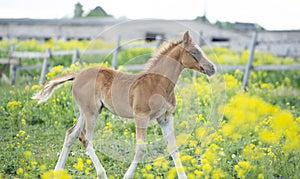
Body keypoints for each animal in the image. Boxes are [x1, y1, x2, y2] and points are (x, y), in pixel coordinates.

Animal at [32, 31, 216, 178]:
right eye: (194, 52)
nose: (212, 68)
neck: (158, 83)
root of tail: (77, 76)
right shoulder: (141, 116)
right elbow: (141, 149)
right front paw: (127, 176)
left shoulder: (165, 118)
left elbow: (173, 148)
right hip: (91, 113)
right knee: (86, 139)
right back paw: (102, 173)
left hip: (86, 112)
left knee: (71, 134)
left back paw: (57, 171)